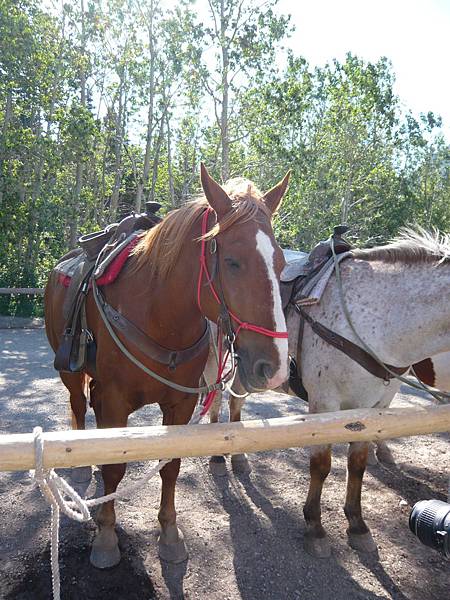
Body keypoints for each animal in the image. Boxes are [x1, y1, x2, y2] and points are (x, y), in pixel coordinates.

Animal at [44, 164, 288, 568]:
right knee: (79, 405)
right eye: (233, 261)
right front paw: (106, 537)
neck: (157, 314)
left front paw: (170, 533)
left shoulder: (180, 404)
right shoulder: (115, 401)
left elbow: (170, 465)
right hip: (70, 370)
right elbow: (115, 468)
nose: (276, 367)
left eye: (281, 263)